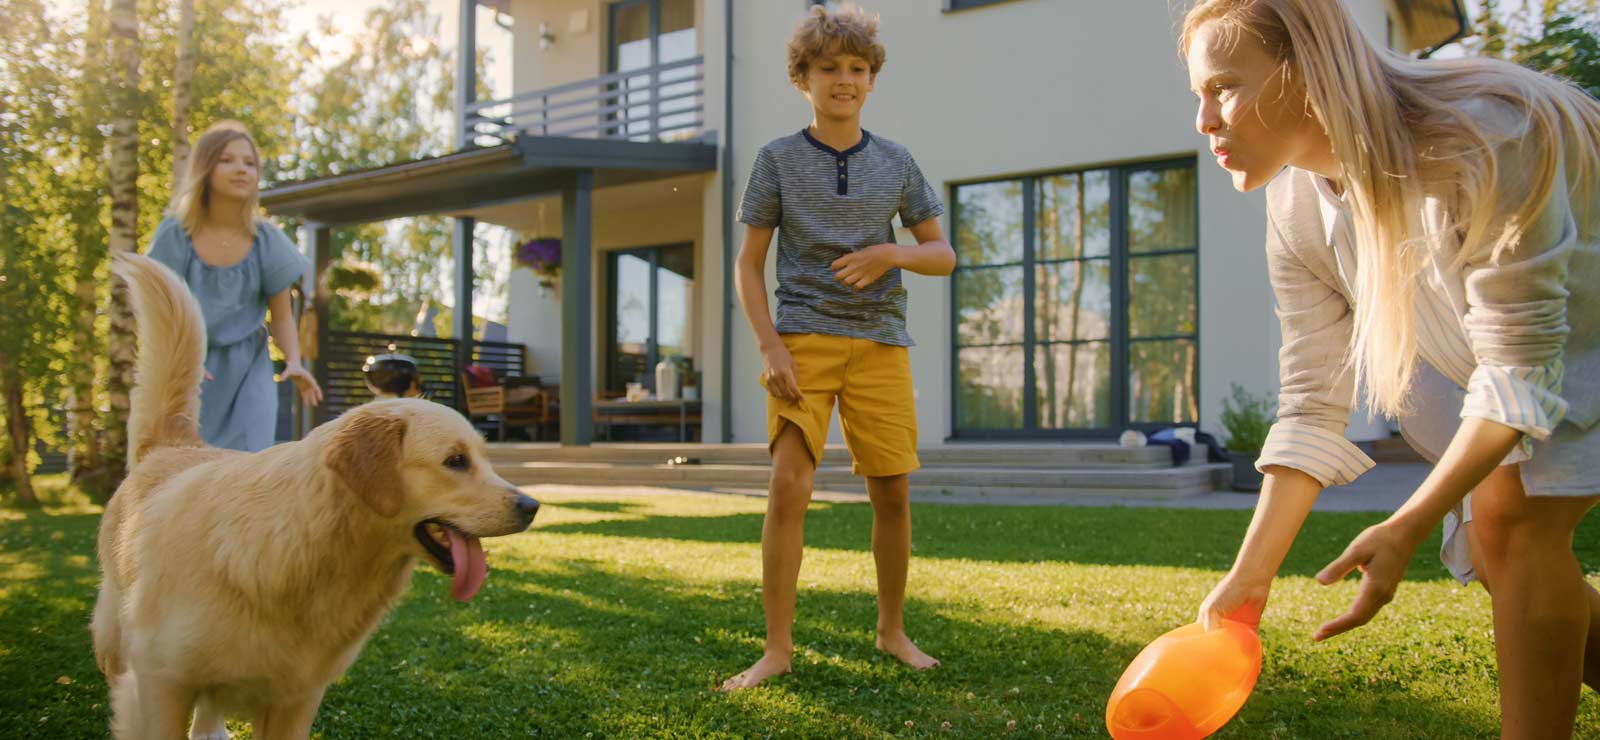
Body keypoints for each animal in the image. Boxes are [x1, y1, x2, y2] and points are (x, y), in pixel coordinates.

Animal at [95, 251, 544, 736]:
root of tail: (173, 445)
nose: (532, 506)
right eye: (456, 461)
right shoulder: (161, 681)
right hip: (113, 643)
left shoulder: (296, 700)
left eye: (483, 457)